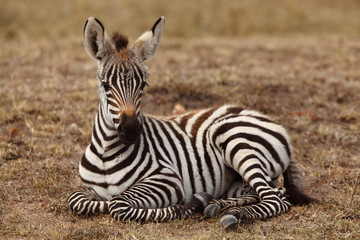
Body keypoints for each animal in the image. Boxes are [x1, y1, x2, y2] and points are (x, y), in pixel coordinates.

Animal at [68, 15, 316, 230]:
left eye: (143, 85)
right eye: (105, 85)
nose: (130, 131)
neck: (106, 153)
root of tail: (267, 119)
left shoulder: (167, 179)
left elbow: (118, 204)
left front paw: (187, 206)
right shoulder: (87, 189)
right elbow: (77, 199)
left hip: (235, 140)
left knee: (276, 200)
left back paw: (231, 214)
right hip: (238, 181)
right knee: (266, 193)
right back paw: (216, 205)